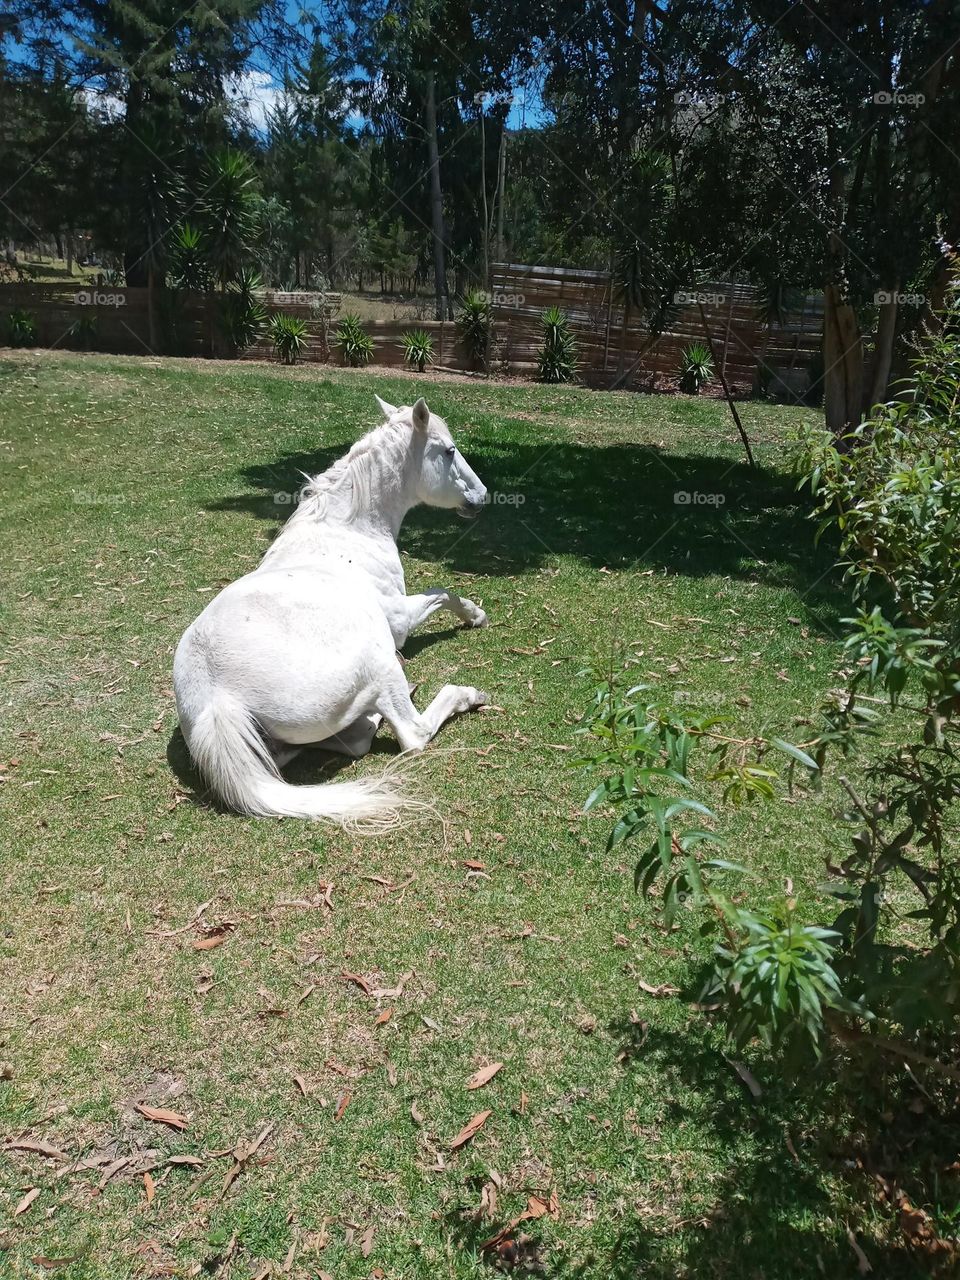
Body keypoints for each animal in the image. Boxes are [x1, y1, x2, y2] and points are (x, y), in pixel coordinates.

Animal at [173, 395, 490, 829]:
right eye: (449, 451)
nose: (482, 495)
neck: (348, 533)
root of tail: (215, 698)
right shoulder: (400, 621)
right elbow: (442, 593)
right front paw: (475, 615)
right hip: (381, 665)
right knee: (408, 734)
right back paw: (463, 695)